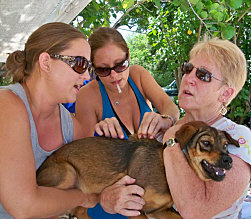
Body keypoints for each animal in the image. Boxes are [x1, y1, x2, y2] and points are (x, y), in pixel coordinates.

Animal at [36, 120, 238, 218]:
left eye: (226, 146)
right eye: (206, 143)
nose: (229, 160)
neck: (167, 170)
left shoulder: (159, 211)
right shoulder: (135, 208)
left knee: (79, 211)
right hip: (67, 174)